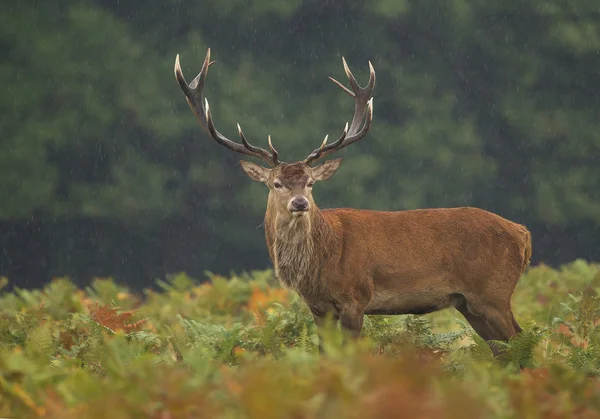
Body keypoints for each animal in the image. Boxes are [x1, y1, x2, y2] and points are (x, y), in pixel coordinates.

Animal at [173, 49, 528, 358]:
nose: (300, 203)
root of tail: (523, 234)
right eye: (276, 184)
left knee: (521, 340)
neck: (320, 262)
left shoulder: (356, 296)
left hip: (493, 292)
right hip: (470, 304)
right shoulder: (318, 307)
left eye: (311, 183)